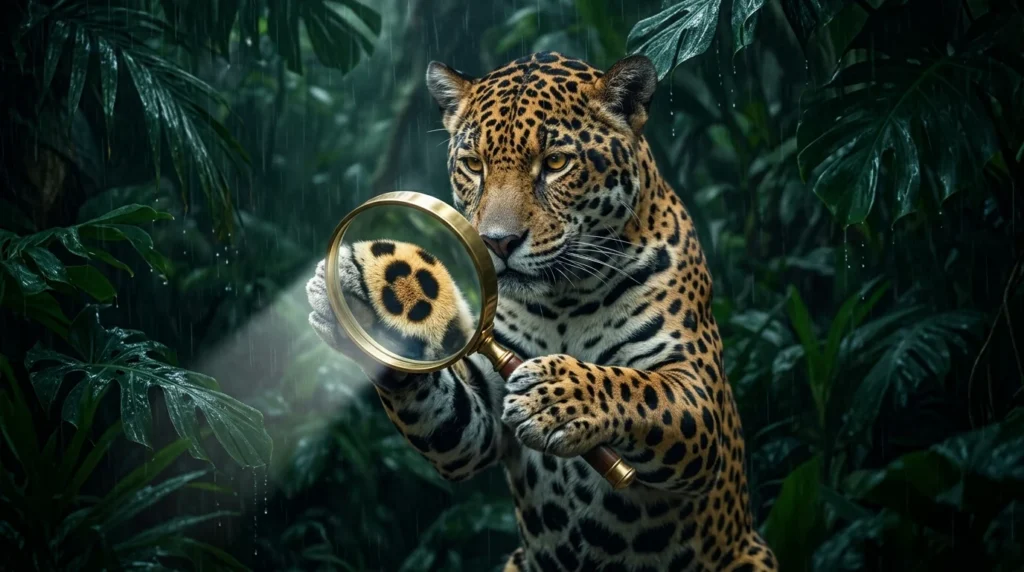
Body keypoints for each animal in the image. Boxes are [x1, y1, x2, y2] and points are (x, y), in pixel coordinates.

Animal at [306, 51, 777, 572]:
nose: (497, 242)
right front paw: (362, 308)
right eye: (474, 165)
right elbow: (450, 416)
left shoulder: (697, 390)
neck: (563, 300)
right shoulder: (482, 420)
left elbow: (637, 388)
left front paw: (559, 396)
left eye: (555, 163)